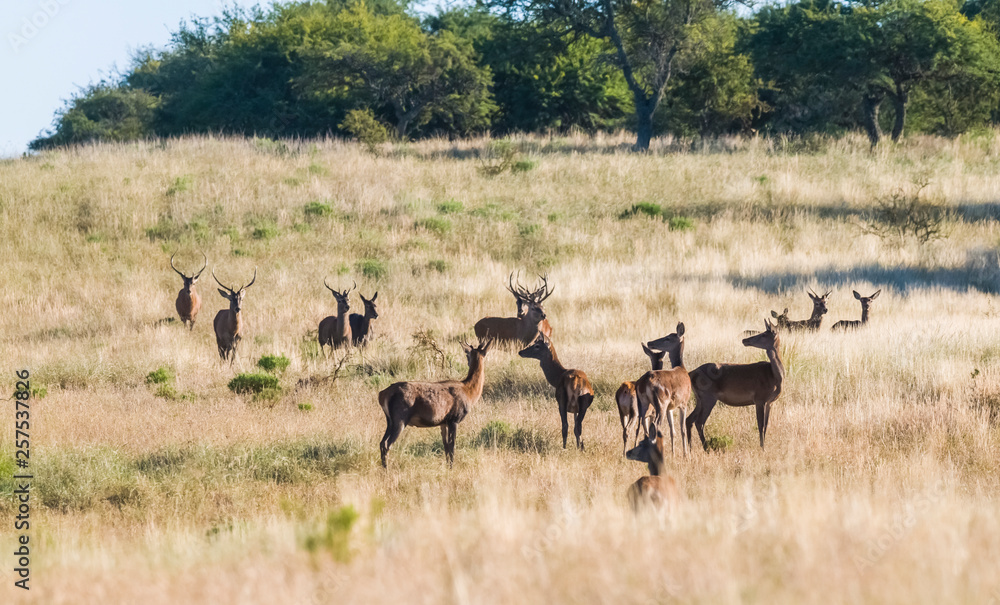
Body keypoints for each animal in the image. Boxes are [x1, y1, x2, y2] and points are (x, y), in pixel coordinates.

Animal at [378, 338, 493, 468]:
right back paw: (387, 469)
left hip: (390, 420)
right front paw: (451, 468)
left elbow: (446, 446)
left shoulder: (443, 422)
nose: (468, 362)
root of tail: (382, 394)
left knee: (382, 442)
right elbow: (452, 446)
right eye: (467, 355)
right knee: (387, 444)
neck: (469, 392)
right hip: (400, 418)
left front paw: (448, 467)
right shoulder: (454, 419)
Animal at [635, 322, 692, 458]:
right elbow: (682, 429)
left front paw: (673, 454)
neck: (682, 369)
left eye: (668, 338)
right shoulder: (684, 402)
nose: (650, 342)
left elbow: (672, 430)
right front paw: (686, 455)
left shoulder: (670, 407)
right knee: (655, 426)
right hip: (661, 402)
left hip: (644, 403)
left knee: (642, 423)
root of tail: (645, 381)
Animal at [687, 319, 784, 451]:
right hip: (708, 397)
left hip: (699, 398)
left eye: (764, 334)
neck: (774, 376)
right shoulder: (759, 399)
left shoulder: (769, 402)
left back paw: (689, 449)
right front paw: (762, 449)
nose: (745, 340)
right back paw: (706, 448)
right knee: (699, 421)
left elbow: (766, 426)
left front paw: (764, 447)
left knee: (689, 419)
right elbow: (760, 425)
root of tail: (690, 373)